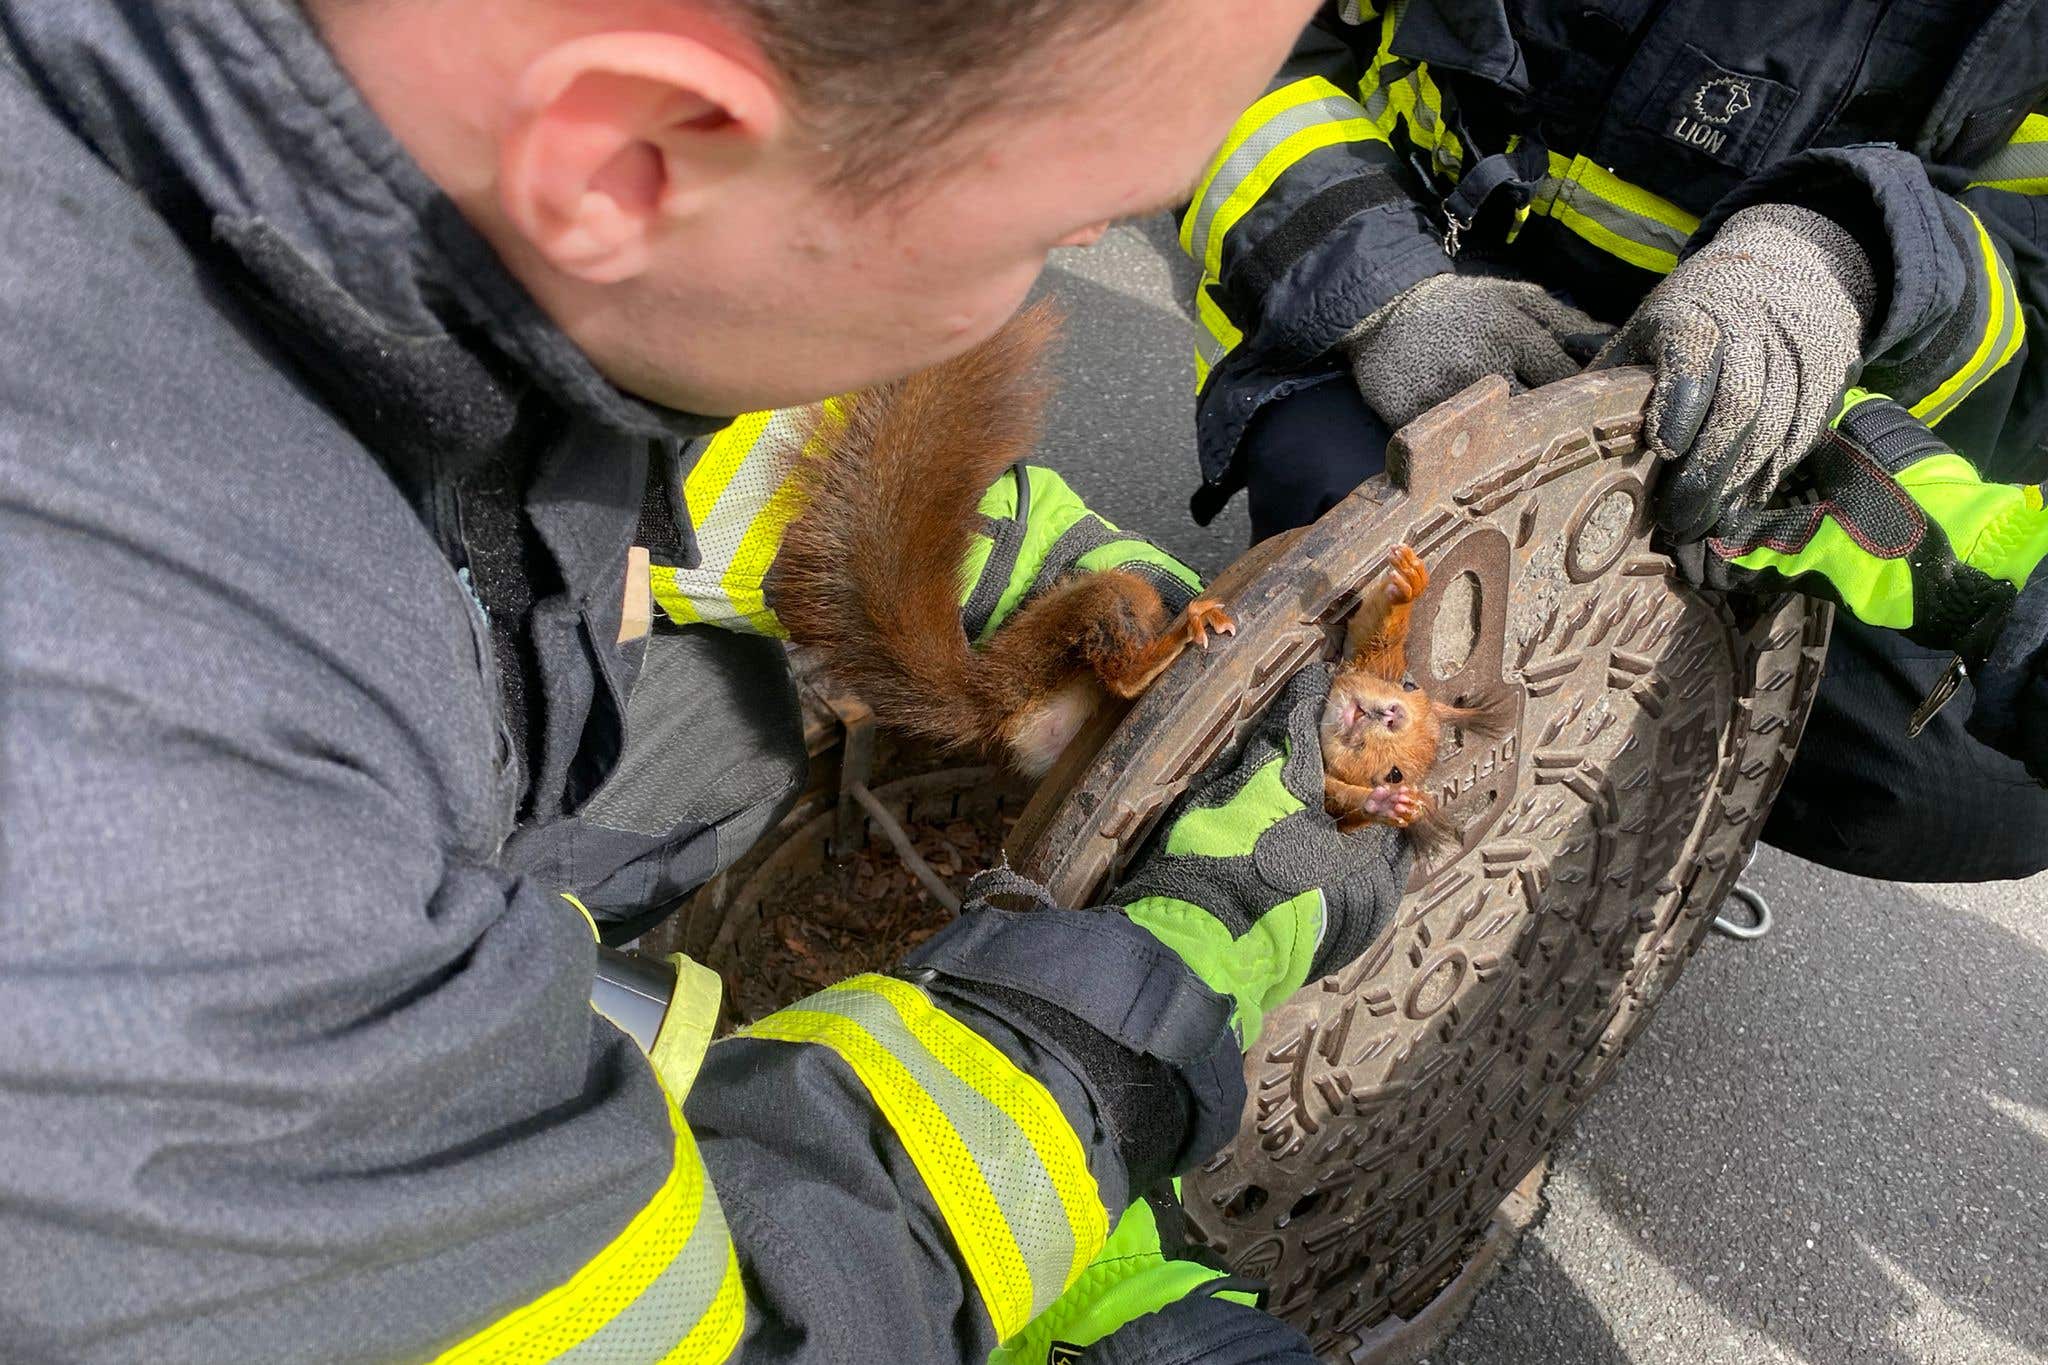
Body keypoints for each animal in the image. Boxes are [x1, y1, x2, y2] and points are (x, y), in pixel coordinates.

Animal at [1318, 540, 1515, 843]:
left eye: (1395, 775)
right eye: (1408, 685)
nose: (1393, 716)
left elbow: (1336, 807)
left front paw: (1385, 805)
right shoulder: (1368, 661)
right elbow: (1370, 631)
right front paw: (1410, 583)